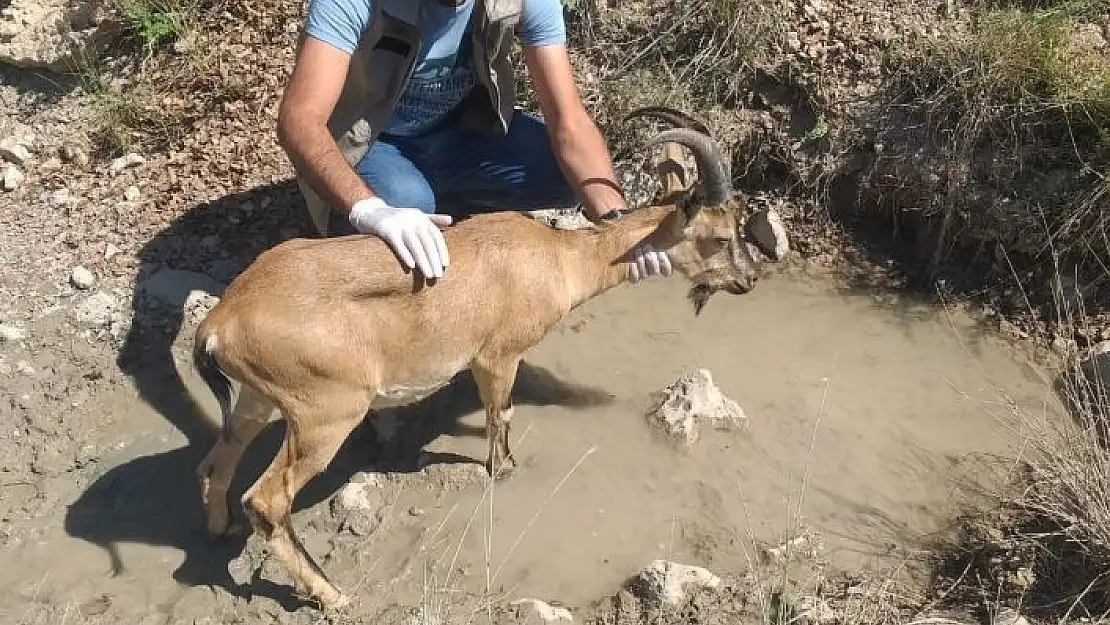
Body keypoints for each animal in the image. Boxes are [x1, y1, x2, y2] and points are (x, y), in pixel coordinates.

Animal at [190, 108, 785, 612]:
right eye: (719, 236)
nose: (750, 279)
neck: (556, 260)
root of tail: (220, 322)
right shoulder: (498, 355)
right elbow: (502, 414)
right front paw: (505, 469)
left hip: (257, 401)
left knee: (215, 463)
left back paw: (219, 530)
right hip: (324, 414)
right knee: (267, 500)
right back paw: (333, 594)